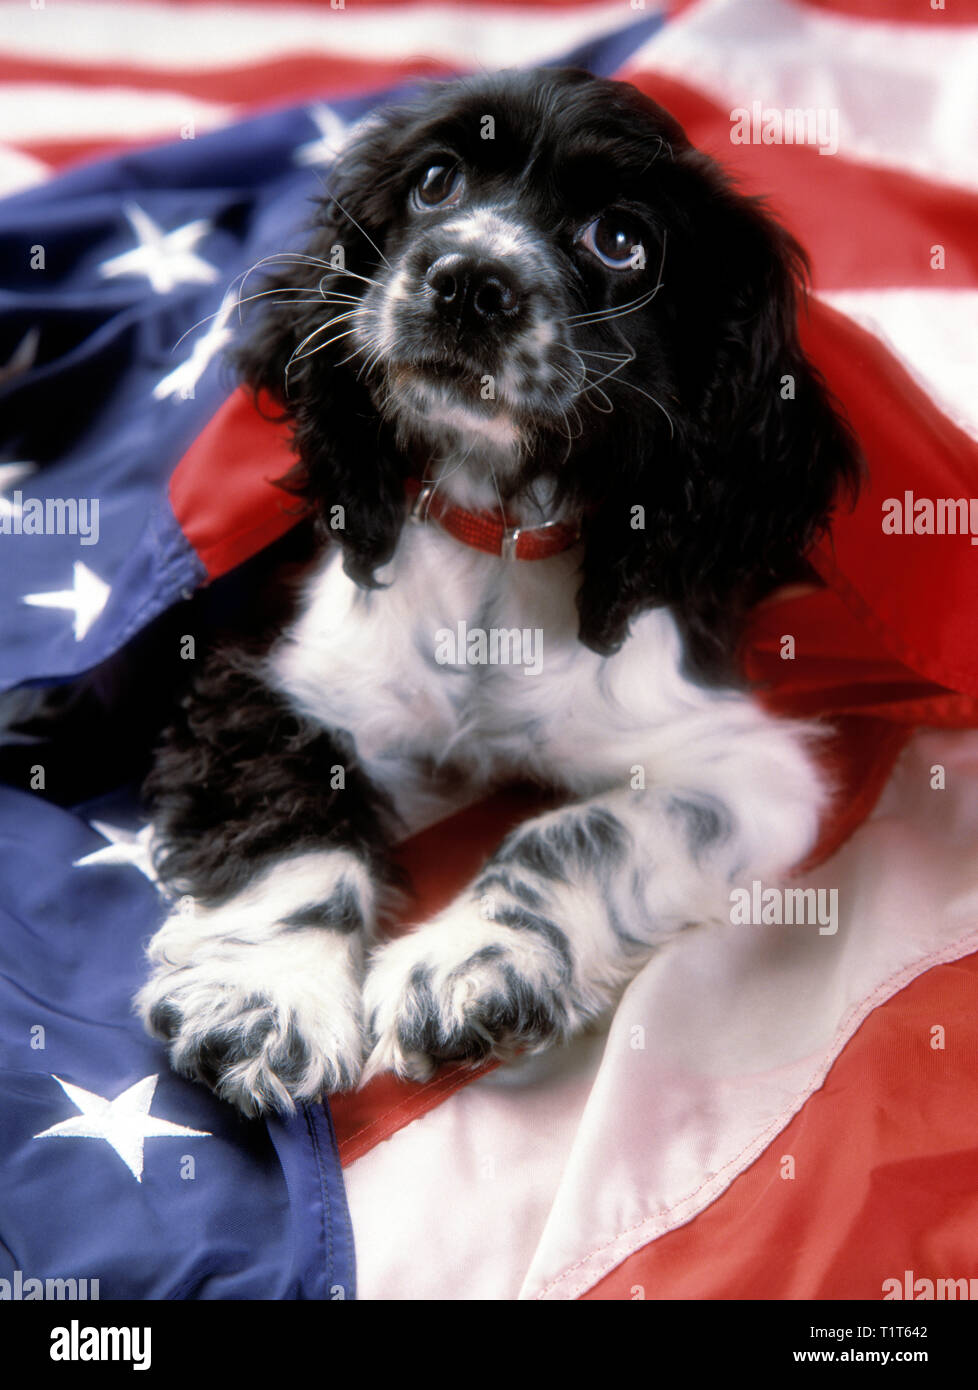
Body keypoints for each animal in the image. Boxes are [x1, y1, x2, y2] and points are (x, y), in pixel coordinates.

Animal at [135, 70, 855, 1123]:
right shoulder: (284, 681)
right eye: (435, 181)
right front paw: (265, 1001)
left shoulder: (747, 768)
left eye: (621, 239)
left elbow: (577, 831)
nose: (466, 280)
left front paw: (470, 968)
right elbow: (291, 814)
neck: (497, 543)